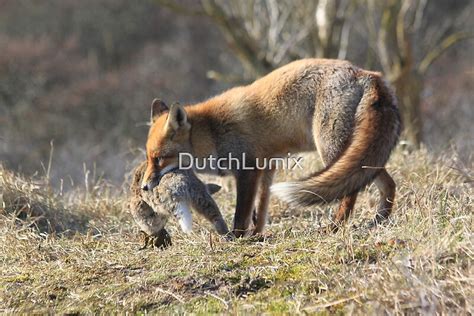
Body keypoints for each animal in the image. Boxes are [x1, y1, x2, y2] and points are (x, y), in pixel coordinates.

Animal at [141, 59, 400, 237]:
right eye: (149, 158)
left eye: (159, 158)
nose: (143, 186)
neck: (212, 133)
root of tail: (367, 74)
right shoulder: (268, 166)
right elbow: (261, 208)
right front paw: (257, 236)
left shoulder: (247, 170)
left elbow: (242, 214)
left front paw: (237, 238)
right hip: (360, 156)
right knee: (386, 183)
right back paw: (380, 220)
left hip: (332, 150)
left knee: (351, 191)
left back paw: (336, 226)